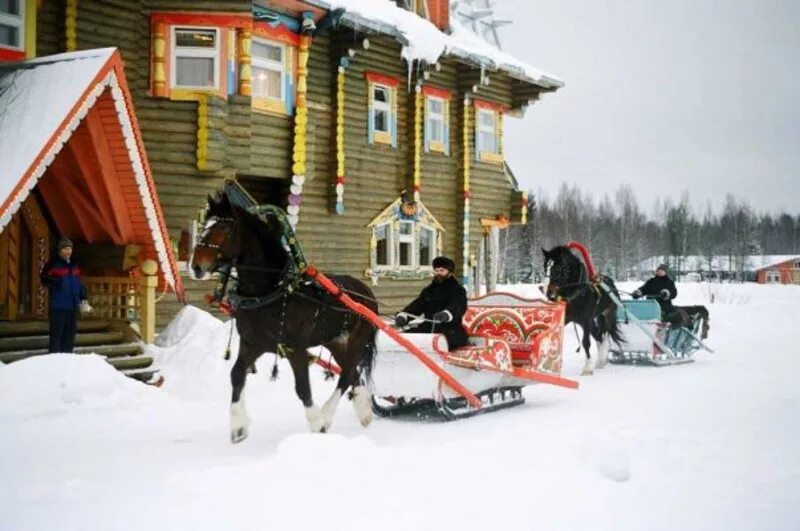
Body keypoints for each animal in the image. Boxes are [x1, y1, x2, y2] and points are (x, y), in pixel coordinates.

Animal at [190, 193, 378, 442]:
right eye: (204, 226)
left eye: (224, 228)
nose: (196, 266)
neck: (271, 290)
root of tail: (366, 293)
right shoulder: (252, 344)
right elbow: (236, 375)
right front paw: (238, 427)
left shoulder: (294, 348)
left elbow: (302, 387)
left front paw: (317, 423)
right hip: (336, 342)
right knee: (352, 372)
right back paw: (364, 412)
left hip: (356, 340)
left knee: (347, 374)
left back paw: (327, 415)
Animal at [544, 245, 624, 374]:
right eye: (545, 267)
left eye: (557, 268)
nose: (549, 293)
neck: (578, 293)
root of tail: (610, 283)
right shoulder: (568, 318)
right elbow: (552, 336)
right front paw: (548, 364)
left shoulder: (586, 320)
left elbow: (586, 342)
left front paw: (587, 367)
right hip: (586, 322)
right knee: (598, 337)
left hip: (607, 316)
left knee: (604, 335)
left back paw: (601, 359)